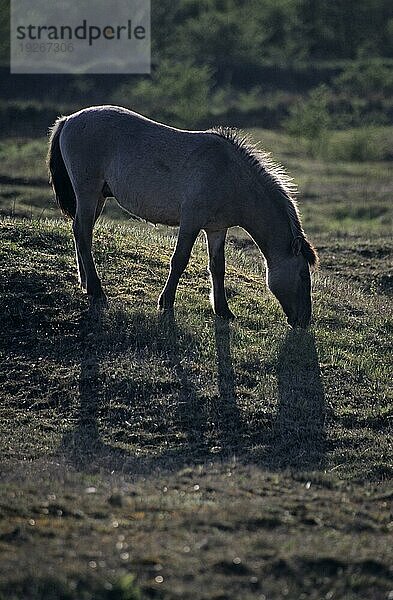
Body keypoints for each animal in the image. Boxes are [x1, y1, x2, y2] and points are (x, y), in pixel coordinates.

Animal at [47, 104, 316, 328]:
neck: (230, 174)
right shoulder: (191, 222)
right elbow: (179, 260)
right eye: (304, 275)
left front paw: (223, 310)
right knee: (82, 233)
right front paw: (166, 302)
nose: (304, 321)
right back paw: (96, 290)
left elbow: (218, 266)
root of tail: (69, 119)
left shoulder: (216, 229)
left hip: (97, 198)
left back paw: (86, 283)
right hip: (88, 193)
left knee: (81, 232)